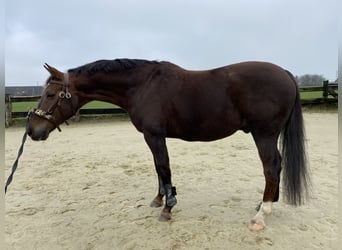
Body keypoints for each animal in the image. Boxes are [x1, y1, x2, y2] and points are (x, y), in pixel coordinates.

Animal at [26, 58, 310, 230]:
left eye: (50, 94)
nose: (32, 130)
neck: (143, 85)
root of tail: (286, 74)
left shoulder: (154, 135)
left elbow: (163, 167)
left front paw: (168, 207)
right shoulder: (152, 137)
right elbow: (157, 168)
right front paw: (159, 197)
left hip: (264, 134)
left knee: (271, 167)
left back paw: (261, 215)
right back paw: (264, 203)